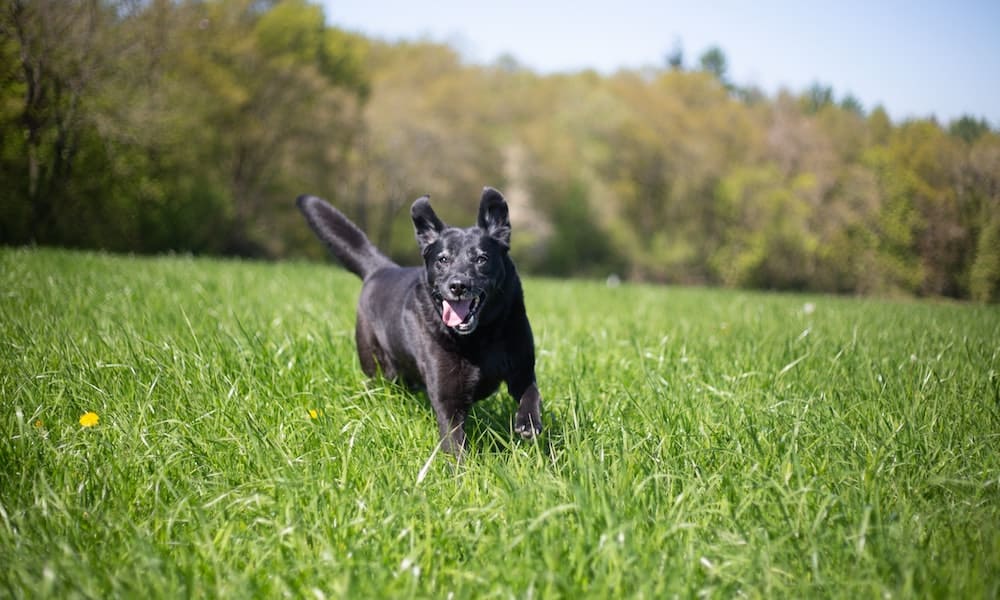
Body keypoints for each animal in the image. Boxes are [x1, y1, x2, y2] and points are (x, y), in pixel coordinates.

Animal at [296, 188, 544, 454]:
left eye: (481, 259)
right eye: (443, 260)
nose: (458, 286)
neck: (480, 337)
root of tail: (380, 269)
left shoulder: (522, 370)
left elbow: (531, 393)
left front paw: (528, 422)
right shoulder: (448, 401)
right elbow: (455, 447)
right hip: (378, 367)